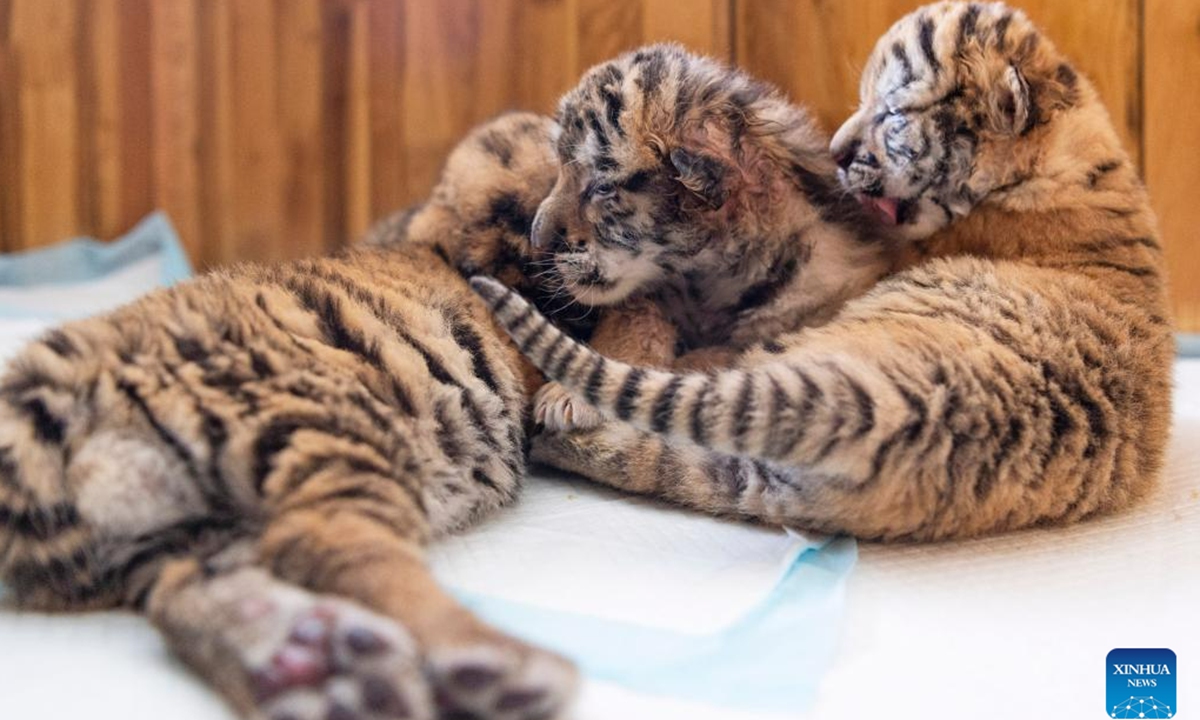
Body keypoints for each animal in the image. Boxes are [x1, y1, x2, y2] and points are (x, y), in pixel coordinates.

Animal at [0, 112, 583, 720]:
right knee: (326, 544)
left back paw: (310, 667)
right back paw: (495, 666)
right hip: (324, 430)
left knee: (186, 591)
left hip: (170, 532)